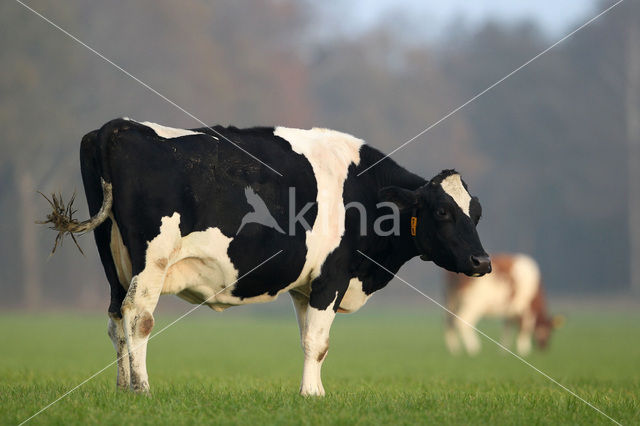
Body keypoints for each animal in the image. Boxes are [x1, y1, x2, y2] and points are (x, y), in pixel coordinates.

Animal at [40, 117, 490, 396]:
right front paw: (310, 394)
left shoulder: (305, 287)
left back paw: (121, 388)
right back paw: (142, 388)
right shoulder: (331, 276)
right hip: (152, 260)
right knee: (138, 317)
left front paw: (315, 392)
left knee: (116, 319)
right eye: (442, 212)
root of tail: (117, 126)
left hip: (112, 260)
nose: (482, 262)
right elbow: (318, 342)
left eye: (477, 212)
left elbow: (310, 340)